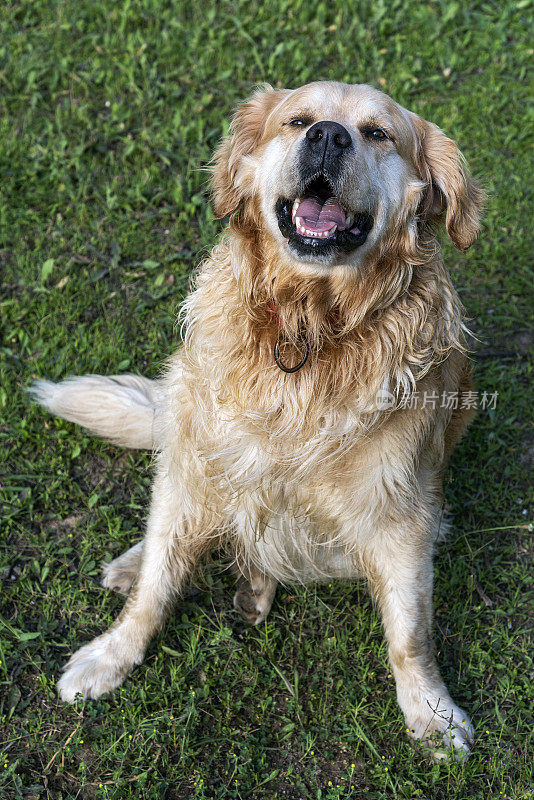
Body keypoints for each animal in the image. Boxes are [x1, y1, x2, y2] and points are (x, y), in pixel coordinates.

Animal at [32, 83, 486, 764]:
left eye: (378, 133)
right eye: (297, 120)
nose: (328, 136)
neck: (306, 327)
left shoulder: (401, 511)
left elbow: (410, 633)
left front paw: (430, 712)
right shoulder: (199, 460)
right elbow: (156, 586)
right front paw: (111, 655)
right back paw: (139, 563)